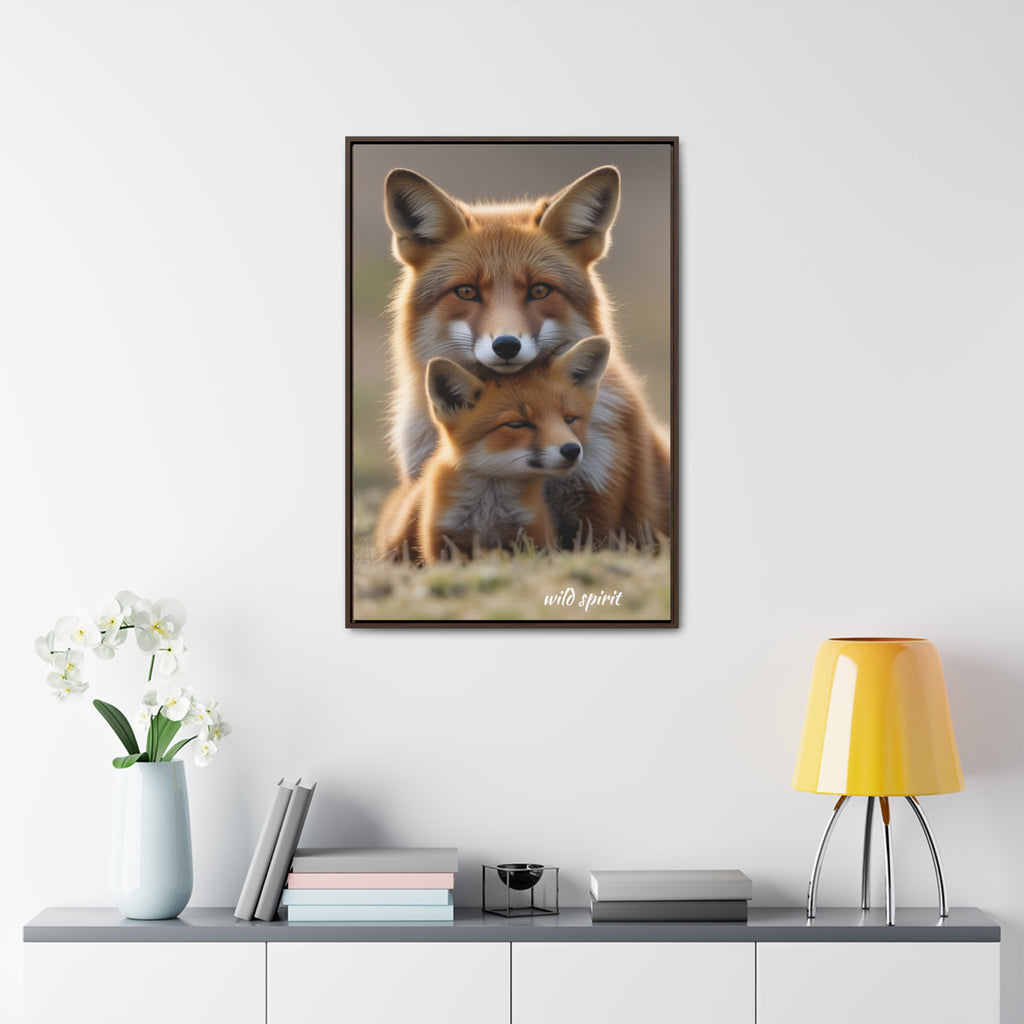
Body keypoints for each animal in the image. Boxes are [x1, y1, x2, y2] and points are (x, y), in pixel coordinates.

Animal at [376, 336, 610, 565]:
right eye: (517, 424)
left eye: (569, 419)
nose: (572, 450)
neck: (488, 513)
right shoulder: (443, 541)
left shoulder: (532, 535)